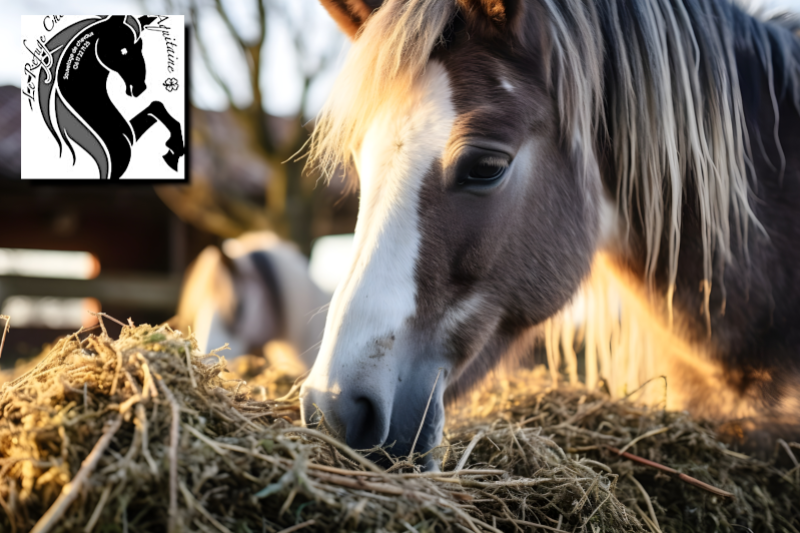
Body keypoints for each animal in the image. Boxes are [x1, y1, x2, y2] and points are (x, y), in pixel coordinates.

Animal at [37, 15, 184, 180]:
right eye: (124, 50)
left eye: (141, 46)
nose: (140, 87)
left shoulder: (129, 137)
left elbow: (155, 107)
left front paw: (174, 151)